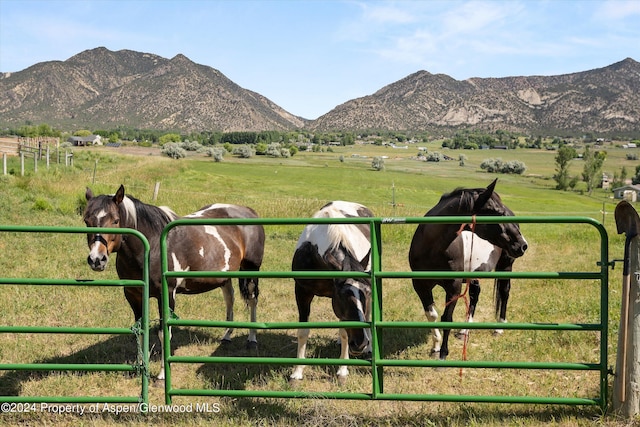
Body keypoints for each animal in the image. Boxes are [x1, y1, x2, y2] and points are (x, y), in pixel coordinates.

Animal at [84, 186, 264, 380]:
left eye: (116, 220)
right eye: (87, 221)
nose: (97, 259)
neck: (153, 246)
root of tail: (248, 211)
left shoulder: (167, 294)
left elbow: (164, 333)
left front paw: (162, 374)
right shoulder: (134, 294)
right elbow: (140, 330)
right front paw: (140, 365)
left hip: (251, 270)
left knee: (252, 300)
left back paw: (252, 339)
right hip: (225, 276)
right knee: (230, 299)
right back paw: (227, 336)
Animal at [288, 201, 372, 384]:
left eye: (367, 293)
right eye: (342, 295)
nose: (360, 343)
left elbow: (345, 332)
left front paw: (342, 370)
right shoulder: (302, 292)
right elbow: (303, 332)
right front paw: (297, 372)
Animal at [408, 180, 528, 362]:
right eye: (499, 213)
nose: (522, 245)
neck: (431, 248)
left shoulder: (454, 287)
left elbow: (447, 318)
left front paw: (443, 354)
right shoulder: (420, 285)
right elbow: (432, 315)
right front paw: (435, 347)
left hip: (506, 266)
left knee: (504, 292)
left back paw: (499, 327)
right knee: (475, 295)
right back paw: (464, 331)